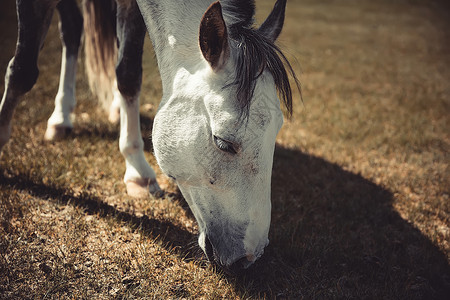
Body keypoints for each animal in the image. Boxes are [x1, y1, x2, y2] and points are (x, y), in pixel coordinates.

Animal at [0, 0, 298, 272]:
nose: (249, 256)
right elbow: (24, 70)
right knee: (72, 33)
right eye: (223, 143)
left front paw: (135, 166)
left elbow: (127, 72)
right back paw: (61, 118)